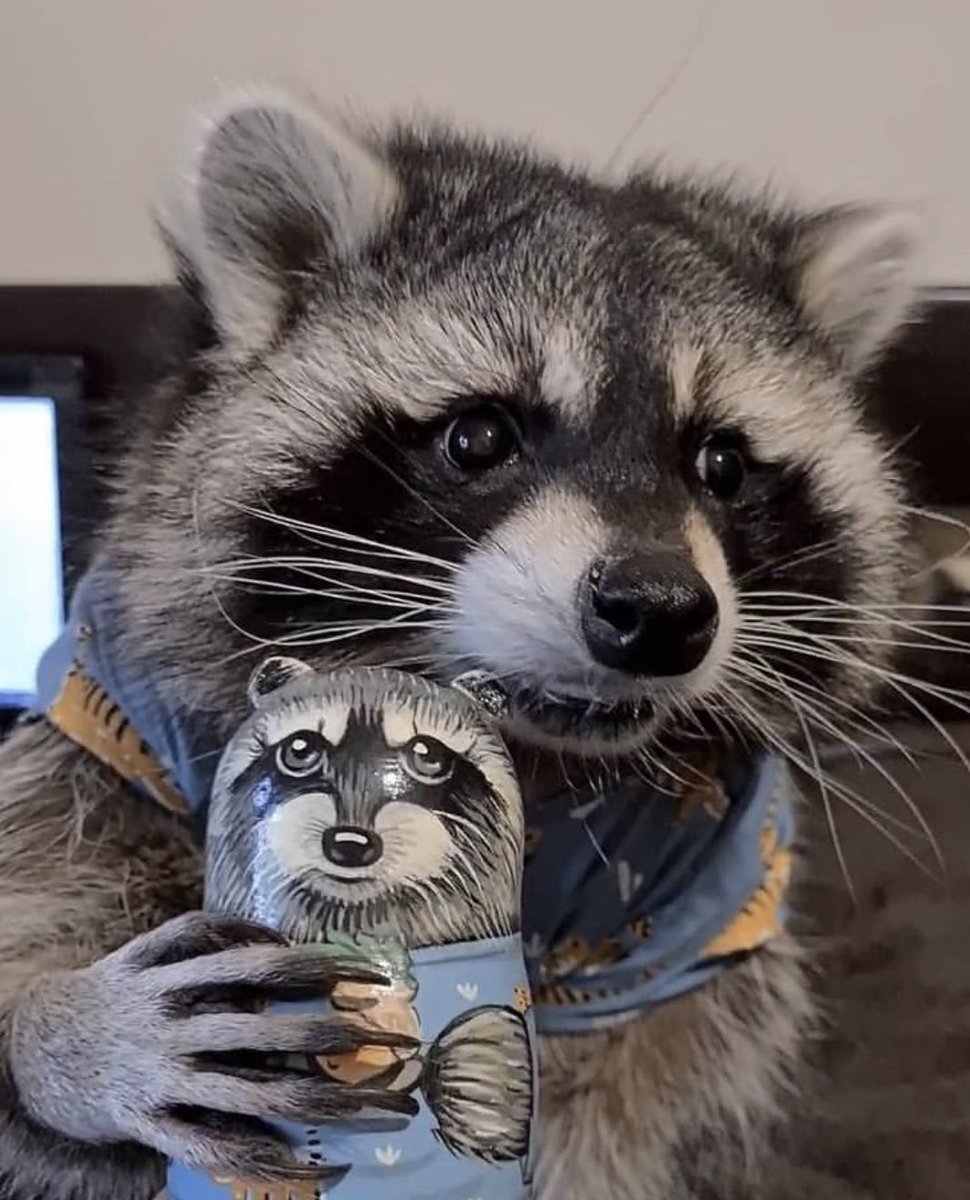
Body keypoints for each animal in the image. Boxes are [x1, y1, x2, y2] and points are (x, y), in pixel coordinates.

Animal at [0, 87, 934, 1200]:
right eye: (479, 436)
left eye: (721, 464)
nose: (659, 612)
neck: (540, 757)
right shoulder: (122, 728)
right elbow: (42, 892)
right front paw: (67, 1035)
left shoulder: (699, 904)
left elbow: (647, 1068)